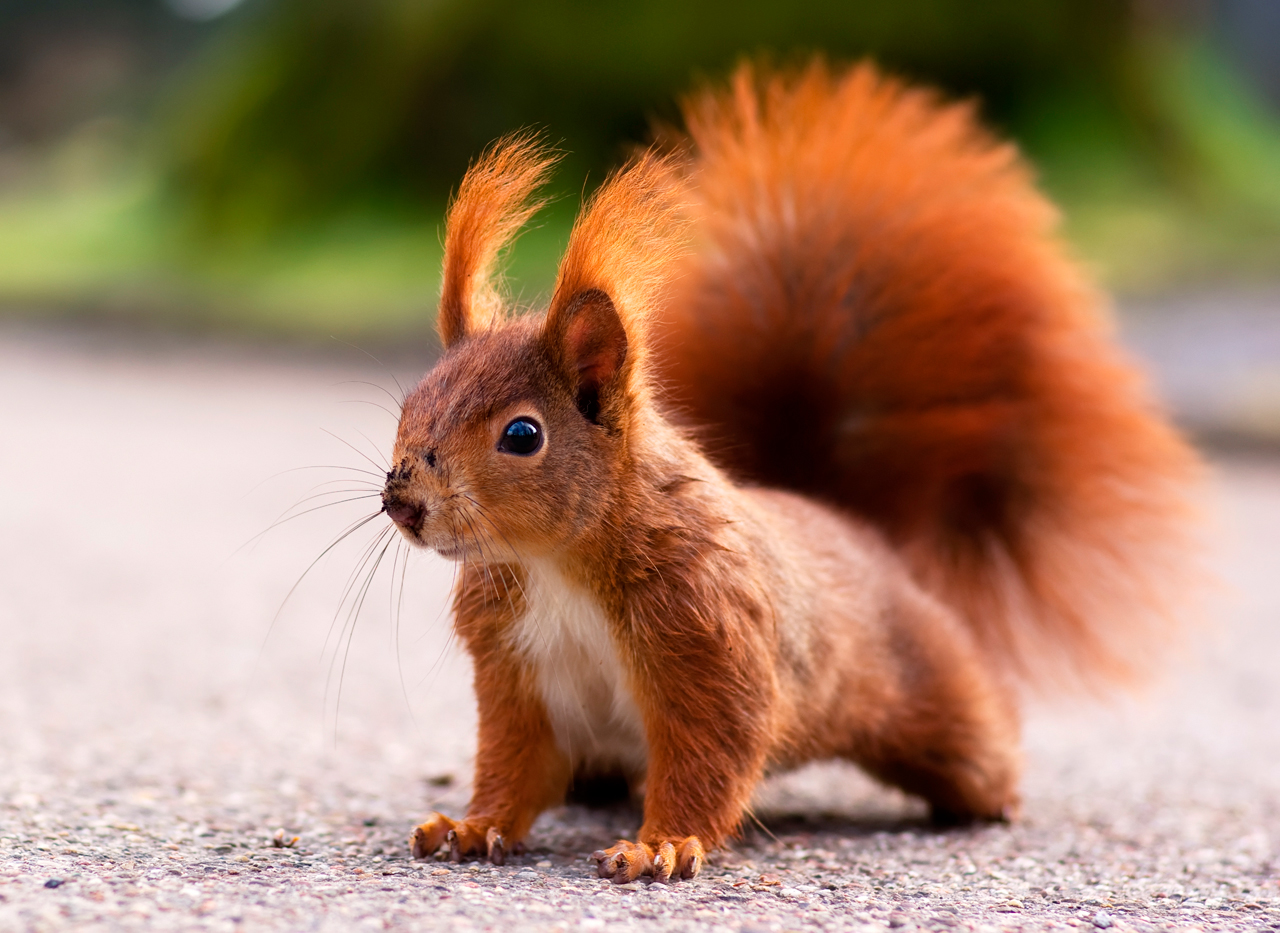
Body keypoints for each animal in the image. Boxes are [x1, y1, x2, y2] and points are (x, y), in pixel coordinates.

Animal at [381, 63, 1198, 880]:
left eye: (522, 435)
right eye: (410, 404)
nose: (403, 504)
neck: (552, 564)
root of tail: (854, 527)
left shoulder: (708, 634)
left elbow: (710, 753)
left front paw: (659, 843)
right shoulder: (514, 671)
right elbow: (513, 763)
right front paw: (471, 824)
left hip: (932, 688)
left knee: (977, 741)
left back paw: (997, 799)